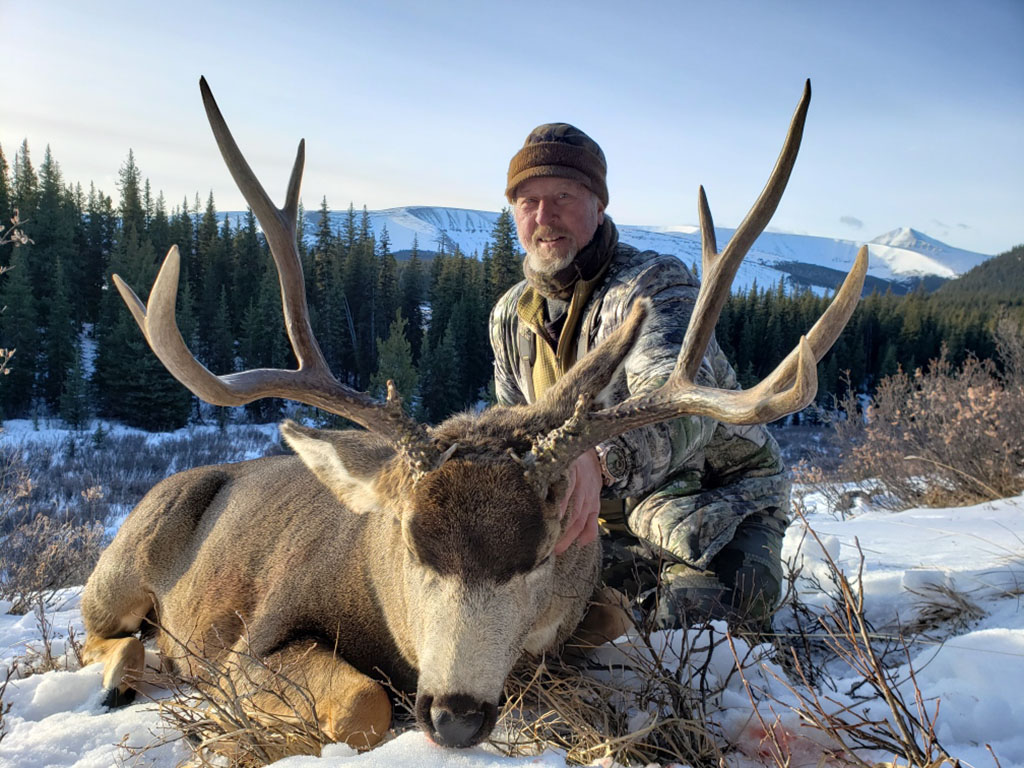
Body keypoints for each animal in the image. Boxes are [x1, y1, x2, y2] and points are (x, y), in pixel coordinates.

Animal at [81, 78, 864, 753]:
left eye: (543, 553)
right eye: (408, 540)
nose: (454, 715)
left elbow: (611, 617)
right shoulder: (251, 644)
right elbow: (362, 699)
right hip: (121, 566)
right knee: (106, 630)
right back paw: (121, 679)